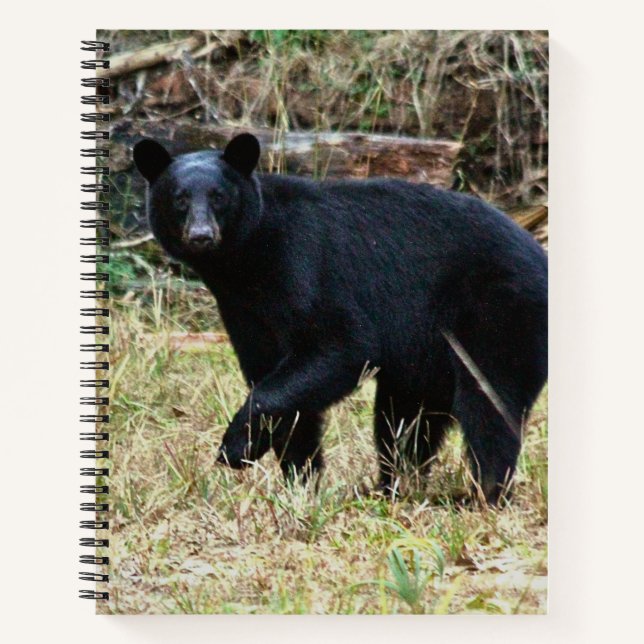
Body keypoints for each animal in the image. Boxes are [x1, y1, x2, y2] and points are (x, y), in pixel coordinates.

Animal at [133, 133, 548, 504]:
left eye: (219, 196)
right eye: (179, 199)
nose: (201, 235)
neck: (246, 263)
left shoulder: (303, 266)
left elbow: (340, 345)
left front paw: (235, 447)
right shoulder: (244, 312)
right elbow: (278, 382)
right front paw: (300, 483)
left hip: (497, 313)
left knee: (487, 403)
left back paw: (484, 495)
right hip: (429, 351)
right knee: (405, 418)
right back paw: (392, 489)